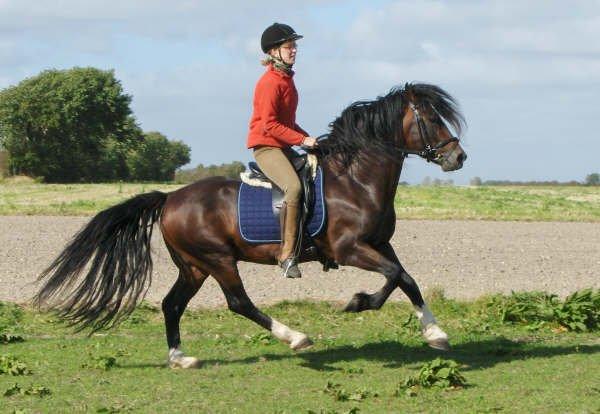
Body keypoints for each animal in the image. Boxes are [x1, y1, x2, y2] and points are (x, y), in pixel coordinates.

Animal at [34, 82, 468, 368]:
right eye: (432, 118)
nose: (458, 157)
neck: (355, 180)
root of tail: (170, 198)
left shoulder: (380, 244)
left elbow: (406, 279)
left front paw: (436, 334)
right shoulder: (350, 250)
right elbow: (393, 277)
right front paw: (358, 302)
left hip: (193, 266)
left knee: (172, 304)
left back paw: (181, 358)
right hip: (217, 260)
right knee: (238, 302)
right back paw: (295, 337)